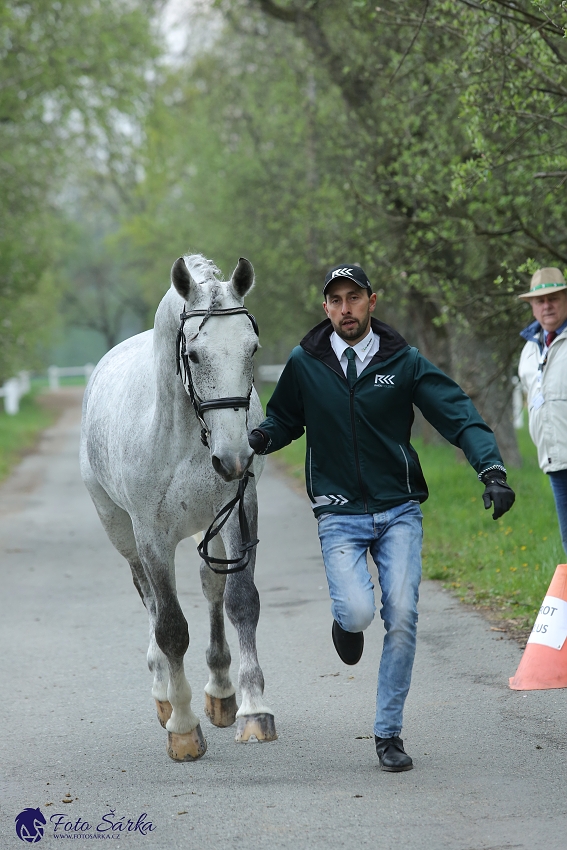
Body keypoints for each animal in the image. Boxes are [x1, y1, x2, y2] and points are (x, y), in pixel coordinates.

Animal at [80, 255, 278, 760]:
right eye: (193, 356)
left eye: (252, 349)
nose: (235, 458)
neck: (184, 437)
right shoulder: (151, 536)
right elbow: (170, 626)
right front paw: (185, 729)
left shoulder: (240, 511)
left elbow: (241, 601)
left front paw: (254, 711)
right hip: (121, 532)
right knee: (149, 600)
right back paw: (164, 694)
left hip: (211, 526)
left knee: (212, 588)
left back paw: (221, 692)